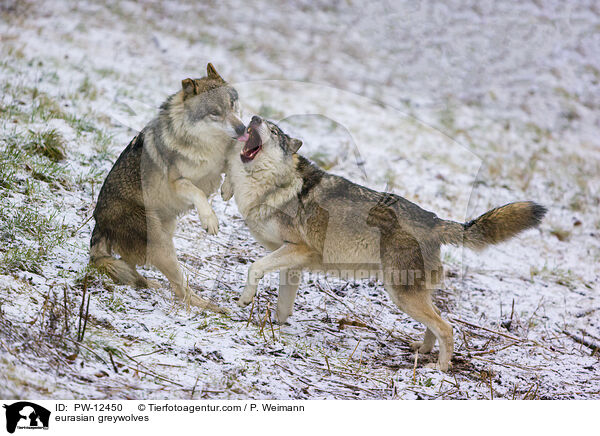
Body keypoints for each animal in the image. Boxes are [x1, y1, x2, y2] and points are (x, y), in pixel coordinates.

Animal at [91, 63, 246, 312]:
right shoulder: (179, 183)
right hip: (161, 246)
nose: (242, 129)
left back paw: (150, 284)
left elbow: (231, 165)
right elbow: (198, 192)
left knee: (133, 267)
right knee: (182, 290)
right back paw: (210, 307)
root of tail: (99, 221)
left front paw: (227, 189)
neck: (207, 145)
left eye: (232, 105)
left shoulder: (220, 164)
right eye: (215, 112)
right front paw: (210, 220)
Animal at [223, 116, 548, 372]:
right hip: (409, 293)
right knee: (436, 323)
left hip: (400, 294)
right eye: (262, 121)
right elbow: (283, 305)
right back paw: (422, 351)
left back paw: (439, 370)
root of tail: (435, 220)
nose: (254, 117)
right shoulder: (292, 263)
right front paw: (275, 331)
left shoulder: (299, 249)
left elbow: (254, 268)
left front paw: (245, 301)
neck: (272, 185)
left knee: (447, 327)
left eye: (274, 131)